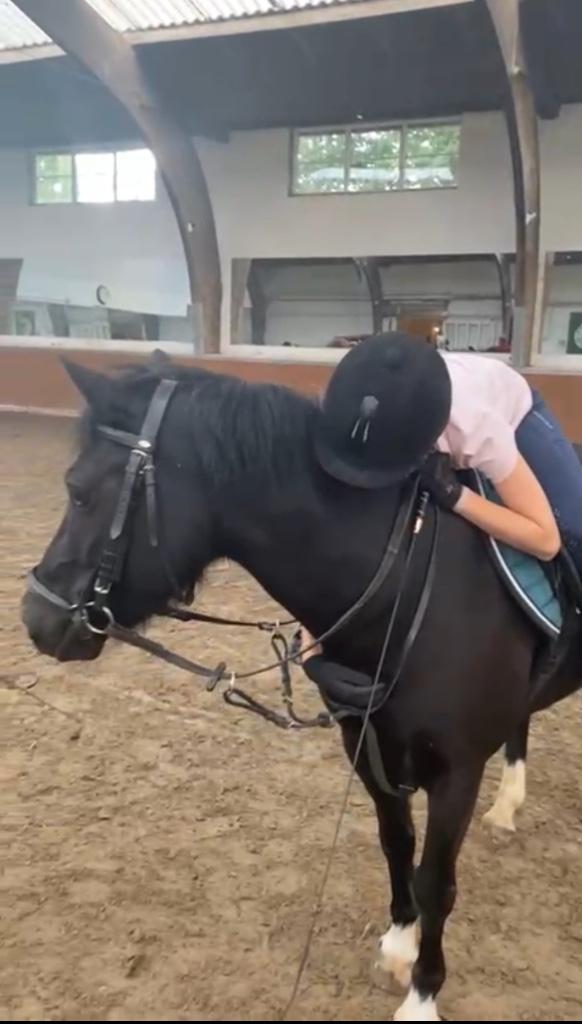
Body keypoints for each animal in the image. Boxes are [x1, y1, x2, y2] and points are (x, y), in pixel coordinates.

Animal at [21, 356, 582, 1021]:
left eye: (79, 490)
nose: (36, 617)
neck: (409, 581)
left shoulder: (457, 772)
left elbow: (436, 881)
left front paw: (421, 995)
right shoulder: (365, 744)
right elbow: (397, 844)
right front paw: (398, 944)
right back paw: (508, 804)